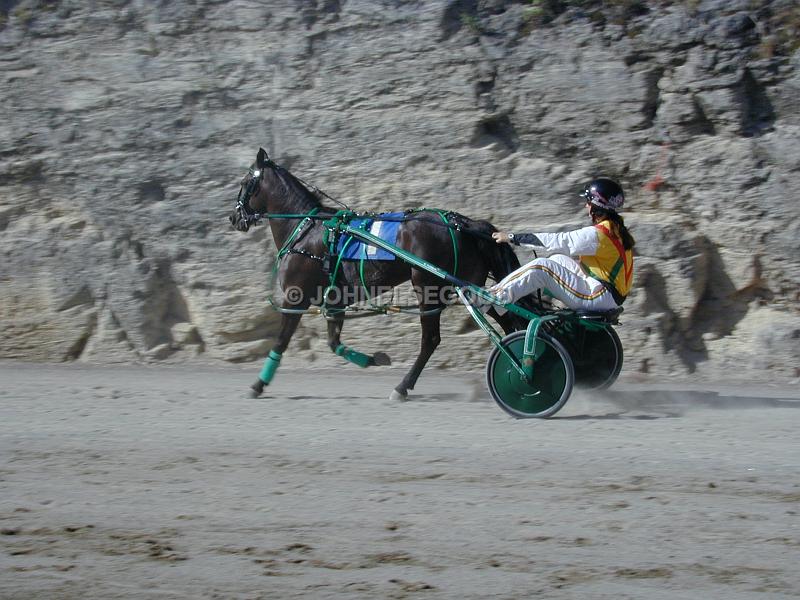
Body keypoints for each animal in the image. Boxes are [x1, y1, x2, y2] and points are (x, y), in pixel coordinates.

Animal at [228, 149, 520, 400]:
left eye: (245, 181)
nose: (234, 217)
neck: (306, 231)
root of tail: (464, 223)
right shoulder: (335, 301)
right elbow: (334, 343)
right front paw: (373, 359)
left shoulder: (295, 298)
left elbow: (281, 341)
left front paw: (258, 384)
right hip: (472, 286)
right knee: (508, 318)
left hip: (429, 287)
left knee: (431, 340)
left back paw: (403, 387)